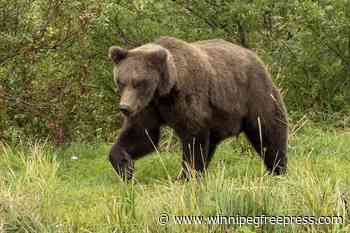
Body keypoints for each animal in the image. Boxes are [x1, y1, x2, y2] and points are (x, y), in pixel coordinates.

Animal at [108, 37, 288, 181]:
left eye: (139, 83)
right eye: (121, 81)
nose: (125, 108)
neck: (165, 91)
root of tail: (254, 56)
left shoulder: (188, 99)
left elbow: (193, 138)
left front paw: (186, 176)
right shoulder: (149, 106)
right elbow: (141, 135)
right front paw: (126, 167)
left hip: (254, 94)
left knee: (268, 131)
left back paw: (278, 169)